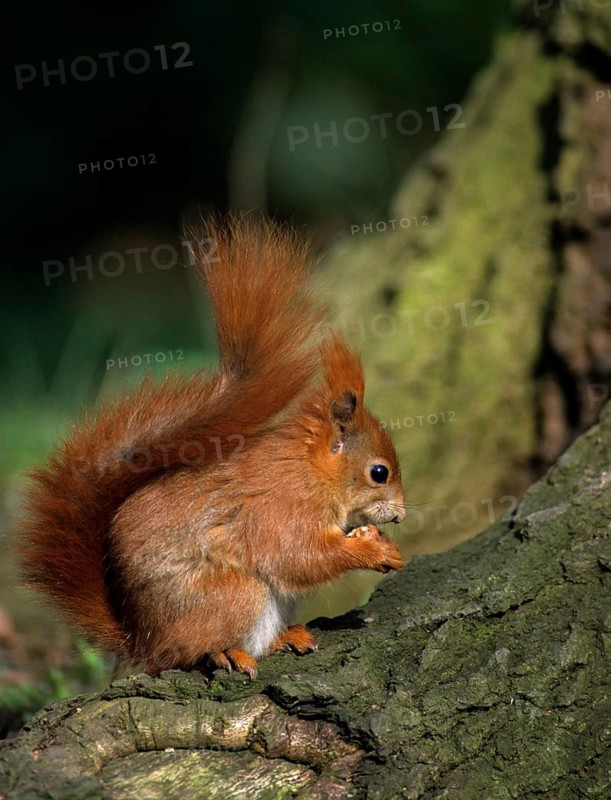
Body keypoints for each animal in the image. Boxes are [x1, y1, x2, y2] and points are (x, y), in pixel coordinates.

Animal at [18, 215, 406, 678]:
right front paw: (371, 549)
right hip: (233, 595)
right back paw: (225, 653)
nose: (401, 515)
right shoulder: (279, 511)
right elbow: (299, 557)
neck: (309, 472)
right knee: (192, 651)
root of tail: (143, 638)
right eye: (379, 473)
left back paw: (285, 638)